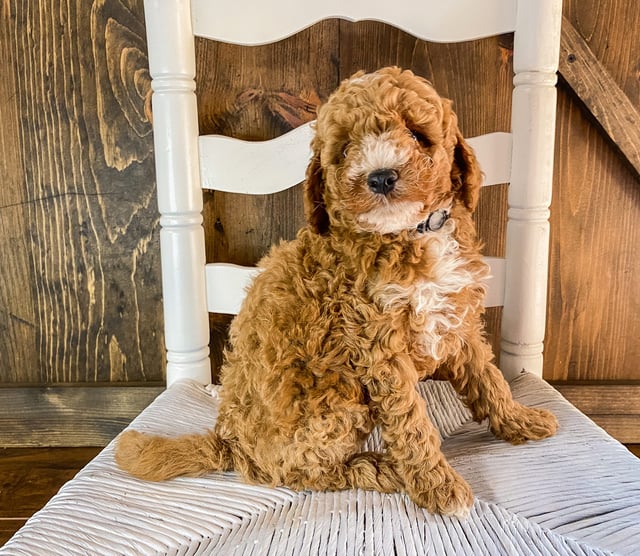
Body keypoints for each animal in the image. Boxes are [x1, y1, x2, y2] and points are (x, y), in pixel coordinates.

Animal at [117, 68, 556, 516]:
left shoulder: (457, 320)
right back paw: (380, 470)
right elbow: (411, 420)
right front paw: (438, 484)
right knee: (307, 473)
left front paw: (519, 419)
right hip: (337, 401)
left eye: (418, 135)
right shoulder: (378, 346)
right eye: (344, 149)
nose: (381, 176)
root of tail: (227, 441)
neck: (408, 235)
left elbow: (488, 378)